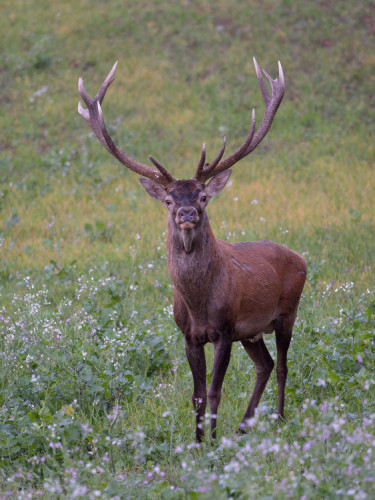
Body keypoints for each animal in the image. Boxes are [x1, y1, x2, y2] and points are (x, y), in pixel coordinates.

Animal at [78, 58, 306, 442]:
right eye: (169, 199)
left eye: (202, 197)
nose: (187, 213)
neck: (199, 304)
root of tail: (301, 258)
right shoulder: (188, 335)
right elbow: (197, 394)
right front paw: (197, 443)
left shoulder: (226, 329)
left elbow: (214, 391)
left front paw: (212, 442)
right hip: (252, 331)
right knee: (266, 364)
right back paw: (244, 425)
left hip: (287, 312)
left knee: (283, 366)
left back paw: (278, 417)